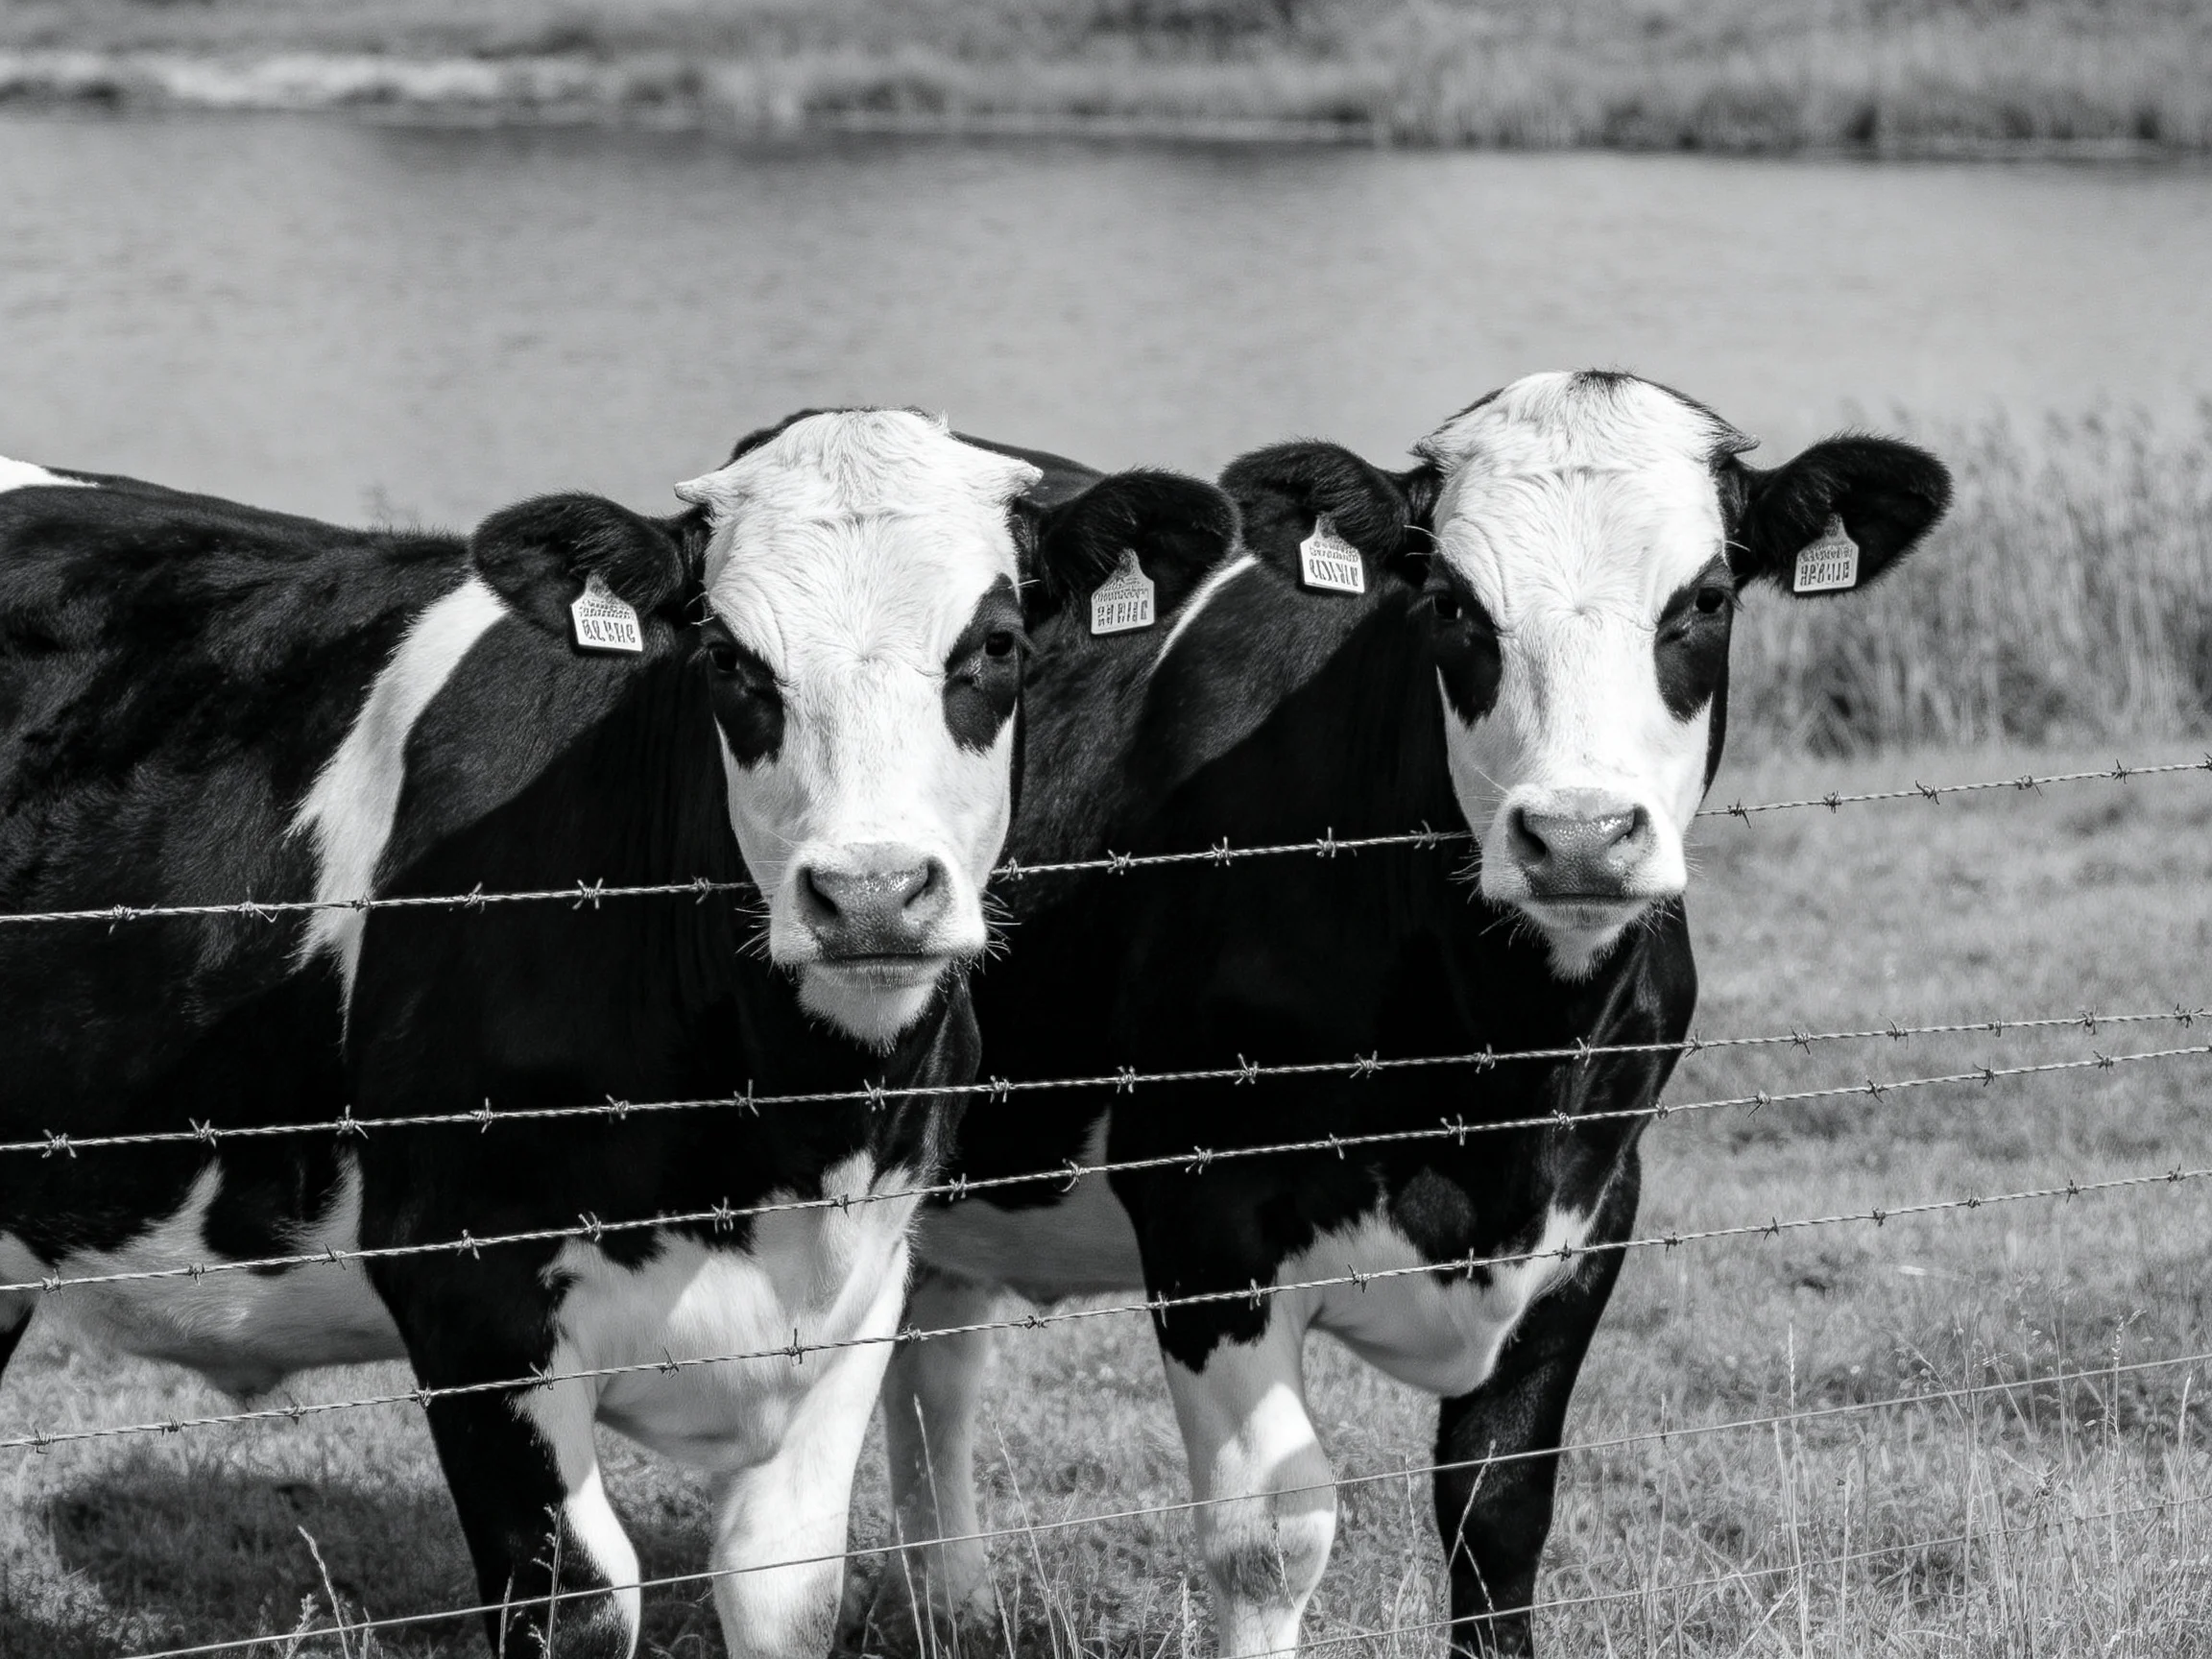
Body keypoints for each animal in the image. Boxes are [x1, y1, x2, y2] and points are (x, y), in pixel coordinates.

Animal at [0, 414, 1237, 1659]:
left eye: (995, 643)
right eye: (730, 660)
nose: (872, 894)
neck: (784, 1142)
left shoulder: (859, 1290)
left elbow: (789, 1596)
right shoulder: (467, 1292)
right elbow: (577, 1605)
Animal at [877, 372, 1952, 1658]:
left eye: (1702, 601)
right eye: (1452, 602)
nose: (1578, 835)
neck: (1495, 1074)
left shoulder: (1595, 1206)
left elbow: (1499, 1512)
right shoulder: (1201, 1210)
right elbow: (1271, 1537)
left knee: (932, 1357)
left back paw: (953, 1606)